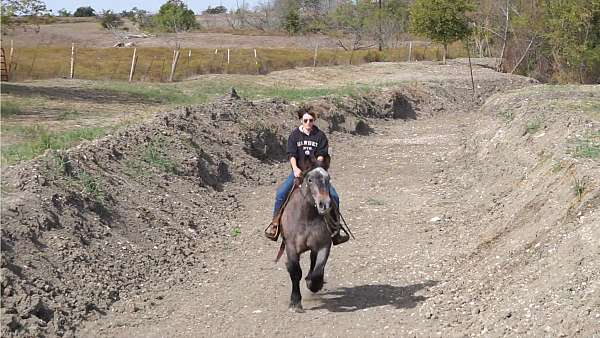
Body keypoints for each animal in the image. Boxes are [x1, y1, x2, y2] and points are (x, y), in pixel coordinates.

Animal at [278, 154, 336, 312]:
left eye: (328, 178)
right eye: (310, 180)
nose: (324, 204)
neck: (306, 218)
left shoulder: (324, 244)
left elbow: (318, 269)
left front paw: (313, 284)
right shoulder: (291, 246)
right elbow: (295, 272)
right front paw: (295, 302)